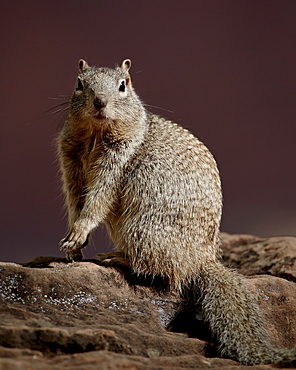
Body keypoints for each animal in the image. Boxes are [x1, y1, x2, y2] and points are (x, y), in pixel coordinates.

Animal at [57, 59, 296, 366]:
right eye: (79, 83)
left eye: (123, 85)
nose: (100, 101)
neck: (95, 136)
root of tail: (202, 260)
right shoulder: (71, 160)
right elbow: (75, 200)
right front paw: (73, 244)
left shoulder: (117, 163)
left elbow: (99, 199)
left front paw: (81, 230)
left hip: (141, 230)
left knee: (161, 270)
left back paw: (117, 257)